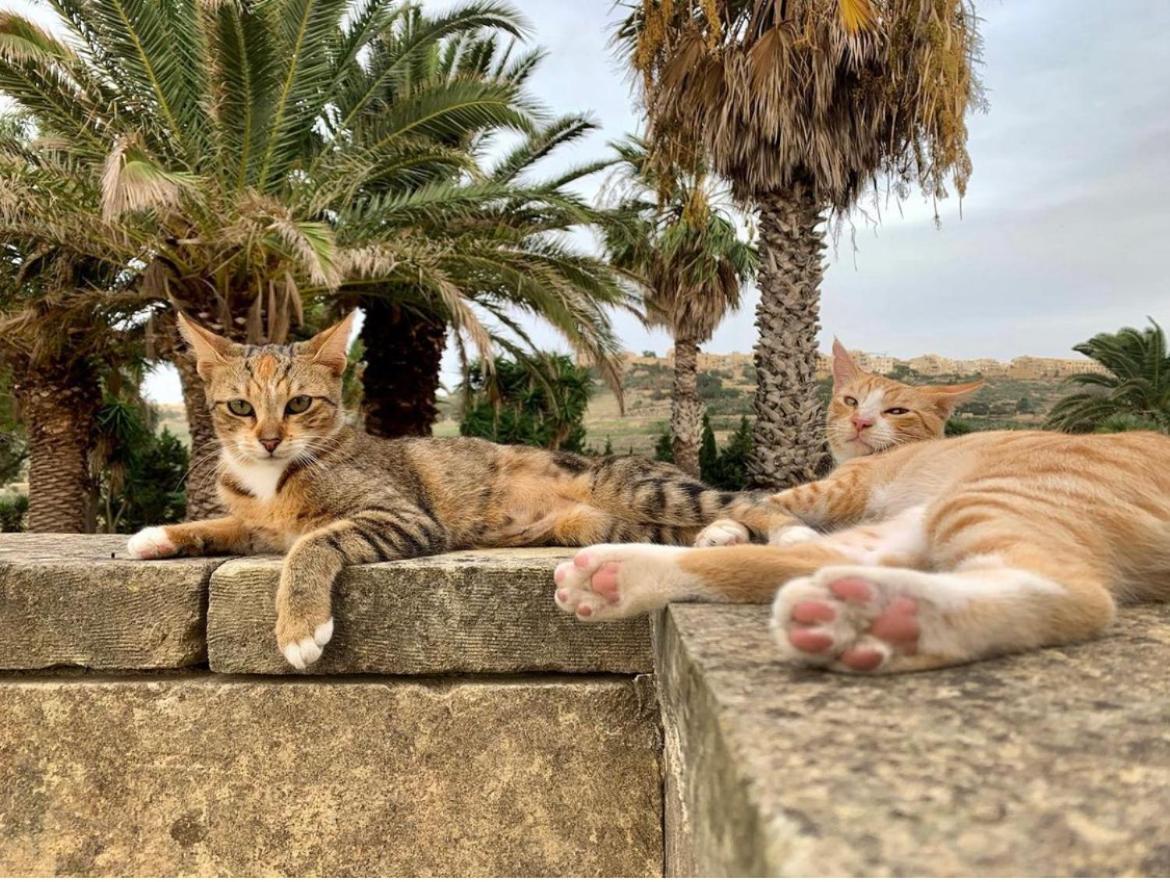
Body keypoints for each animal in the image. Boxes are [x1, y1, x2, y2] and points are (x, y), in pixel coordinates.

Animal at [128, 313, 786, 664]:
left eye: (298, 405)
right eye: (239, 407)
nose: (267, 440)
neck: (273, 477)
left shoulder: (403, 516)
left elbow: (311, 545)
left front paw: (298, 625)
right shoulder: (256, 526)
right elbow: (224, 525)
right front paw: (159, 535)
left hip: (641, 489)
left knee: (747, 503)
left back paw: (748, 532)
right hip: (604, 522)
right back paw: (717, 540)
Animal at [554, 339, 1170, 669]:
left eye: (896, 411)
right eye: (851, 399)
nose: (860, 422)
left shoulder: (831, 490)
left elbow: (758, 499)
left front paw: (727, 525)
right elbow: (749, 512)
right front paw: (722, 532)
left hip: (991, 496)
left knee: (1070, 591)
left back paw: (887, 620)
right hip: (915, 521)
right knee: (805, 562)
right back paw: (616, 577)